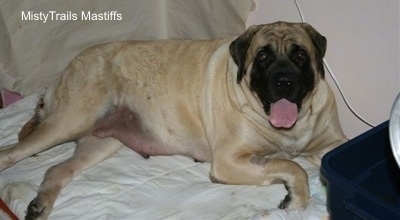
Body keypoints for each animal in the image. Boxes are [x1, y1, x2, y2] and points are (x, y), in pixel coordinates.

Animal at [0, 21, 346, 220]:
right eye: (263, 56)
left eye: (300, 54)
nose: (284, 82)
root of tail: (67, 67)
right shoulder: (229, 161)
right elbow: (291, 165)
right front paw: (295, 197)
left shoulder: (330, 144)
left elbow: (306, 159)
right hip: (68, 121)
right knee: (10, 154)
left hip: (100, 141)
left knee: (57, 169)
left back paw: (40, 204)